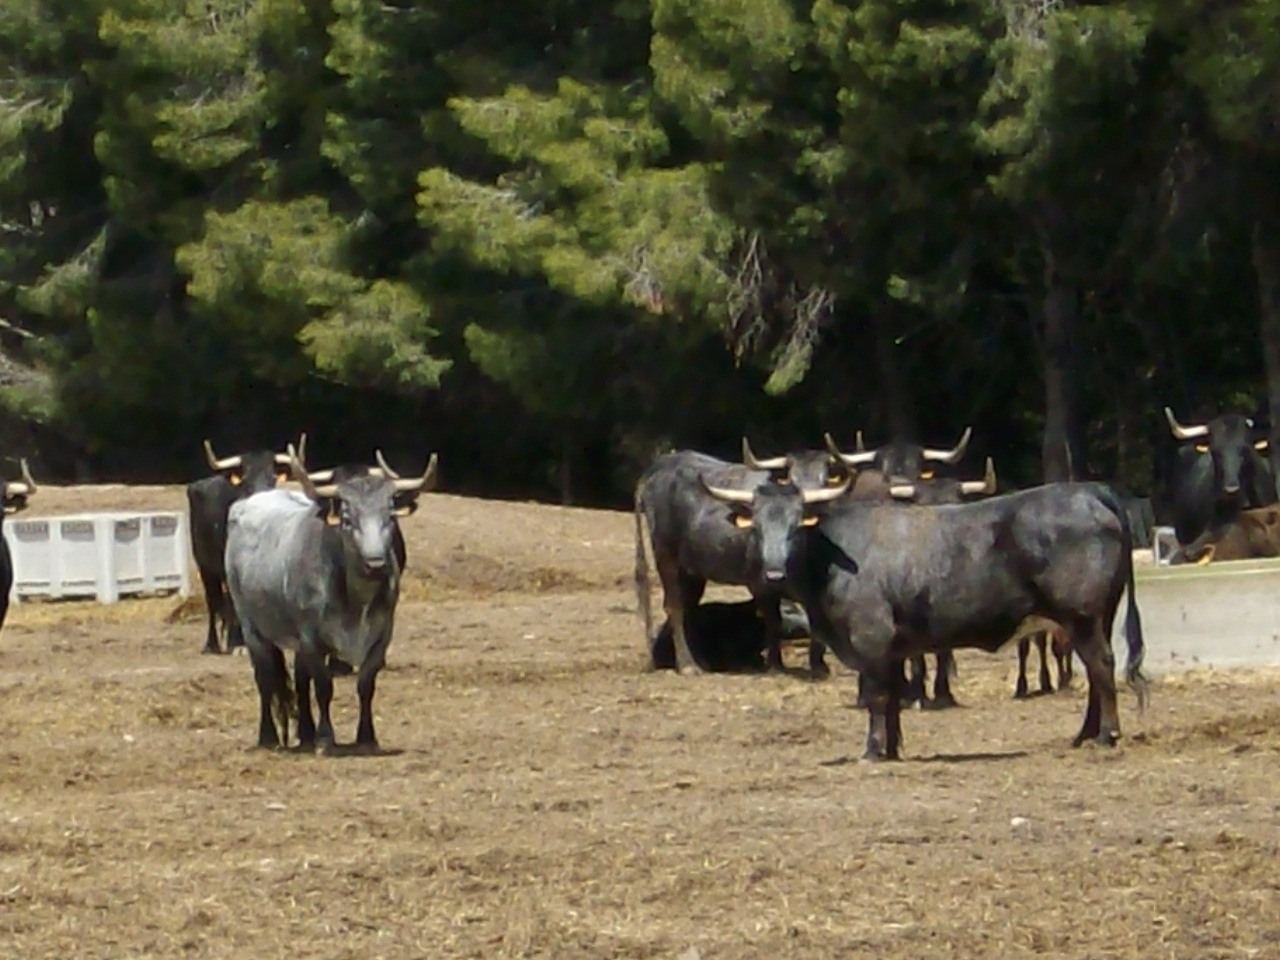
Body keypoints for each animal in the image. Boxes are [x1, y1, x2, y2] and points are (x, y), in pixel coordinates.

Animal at [186, 436, 304, 655]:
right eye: (247, 481)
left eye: (273, 478)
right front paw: (237, 643)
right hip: (204, 565)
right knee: (212, 602)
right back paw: (211, 644)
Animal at [225, 444, 437, 753]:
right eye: (348, 519)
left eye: (391, 516)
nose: (376, 564)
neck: (356, 600)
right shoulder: (312, 638)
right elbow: (323, 686)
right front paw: (326, 738)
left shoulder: (382, 636)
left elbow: (365, 684)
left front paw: (367, 737)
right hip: (251, 625)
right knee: (265, 678)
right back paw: (269, 738)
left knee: (300, 681)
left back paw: (305, 734)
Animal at [633, 445, 849, 675]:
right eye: (757, 529)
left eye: (825, 478)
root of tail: (661, 466)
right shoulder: (759, 584)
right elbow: (773, 619)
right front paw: (775, 664)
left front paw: (818, 664)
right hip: (666, 558)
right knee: (675, 607)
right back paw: (688, 664)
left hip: (692, 571)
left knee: (688, 607)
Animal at [702, 481, 1148, 761]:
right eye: (758, 527)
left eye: (797, 526)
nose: (774, 573)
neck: (833, 555)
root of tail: (1088, 490)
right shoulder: (893, 648)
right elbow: (895, 696)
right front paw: (892, 748)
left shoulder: (871, 638)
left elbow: (878, 695)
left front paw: (872, 750)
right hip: (1095, 618)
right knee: (1096, 672)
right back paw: (1084, 734)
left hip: (1082, 617)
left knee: (1102, 667)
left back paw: (1106, 735)